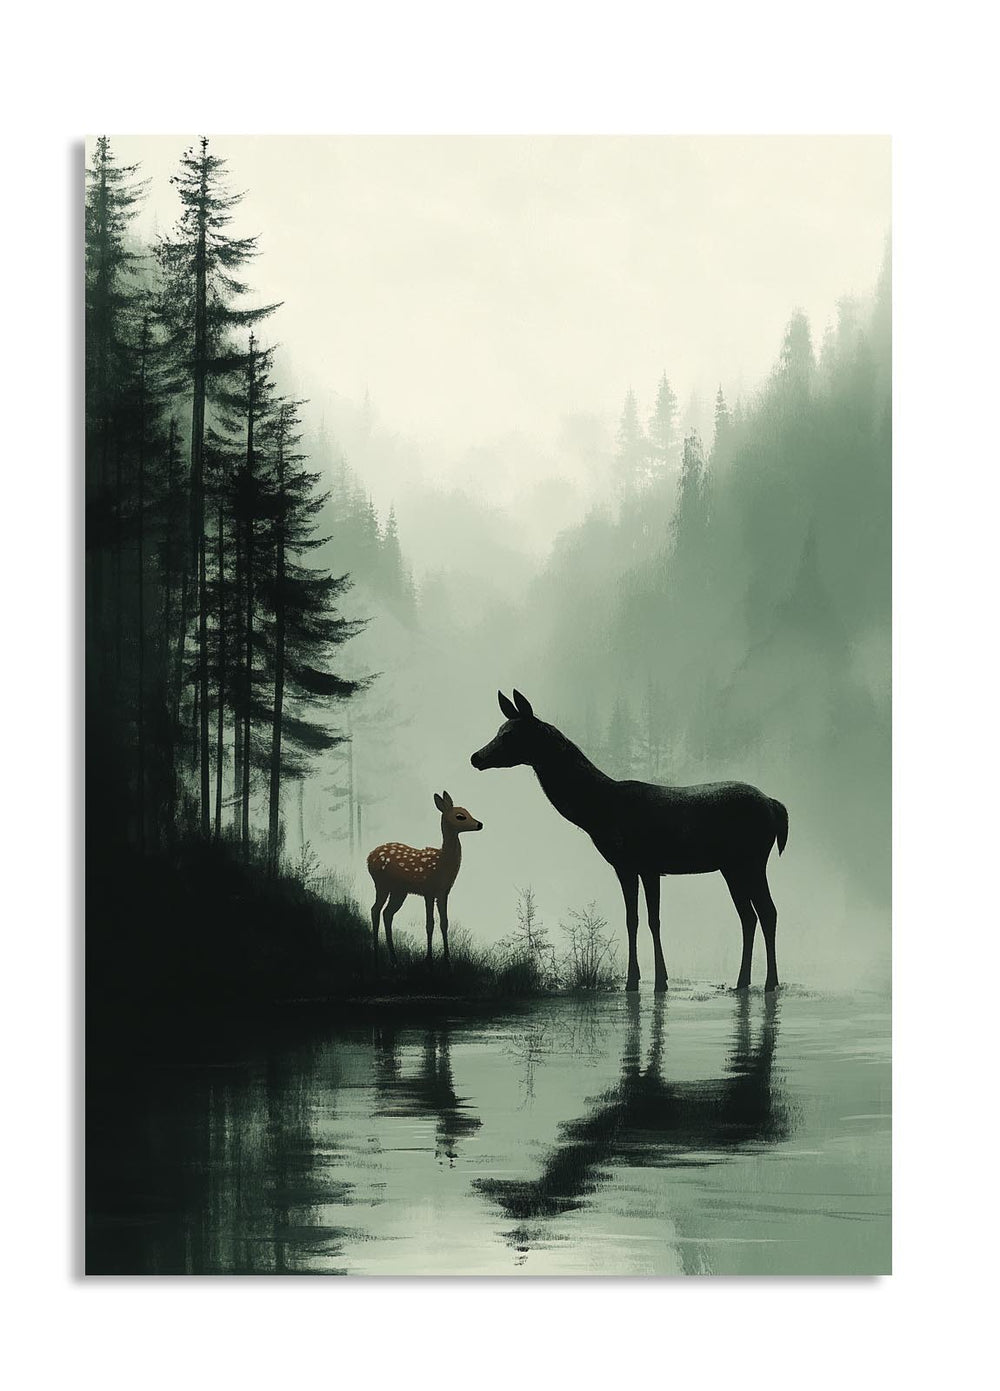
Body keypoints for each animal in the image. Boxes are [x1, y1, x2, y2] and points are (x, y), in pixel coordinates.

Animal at [367, 791, 483, 971]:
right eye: (460, 816)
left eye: (467, 811)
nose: (480, 824)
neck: (442, 863)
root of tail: (369, 857)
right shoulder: (428, 890)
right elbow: (430, 924)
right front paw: (429, 960)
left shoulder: (444, 892)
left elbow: (444, 923)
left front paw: (447, 960)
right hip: (381, 884)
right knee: (375, 910)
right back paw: (377, 958)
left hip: (399, 891)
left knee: (387, 913)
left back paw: (394, 959)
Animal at [471, 690, 788, 993]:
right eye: (499, 729)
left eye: (509, 734)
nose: (476, 757)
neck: (600, 813)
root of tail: (774, 805)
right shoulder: (624, 866)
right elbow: (631, 919)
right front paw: (634, 980)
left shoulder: (648, 864)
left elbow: (652, 920)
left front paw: (658, 981)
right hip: (731, 867)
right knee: (748, 916)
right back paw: (742, 981)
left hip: (753, 858)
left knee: (768, 911)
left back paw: (770, 982)